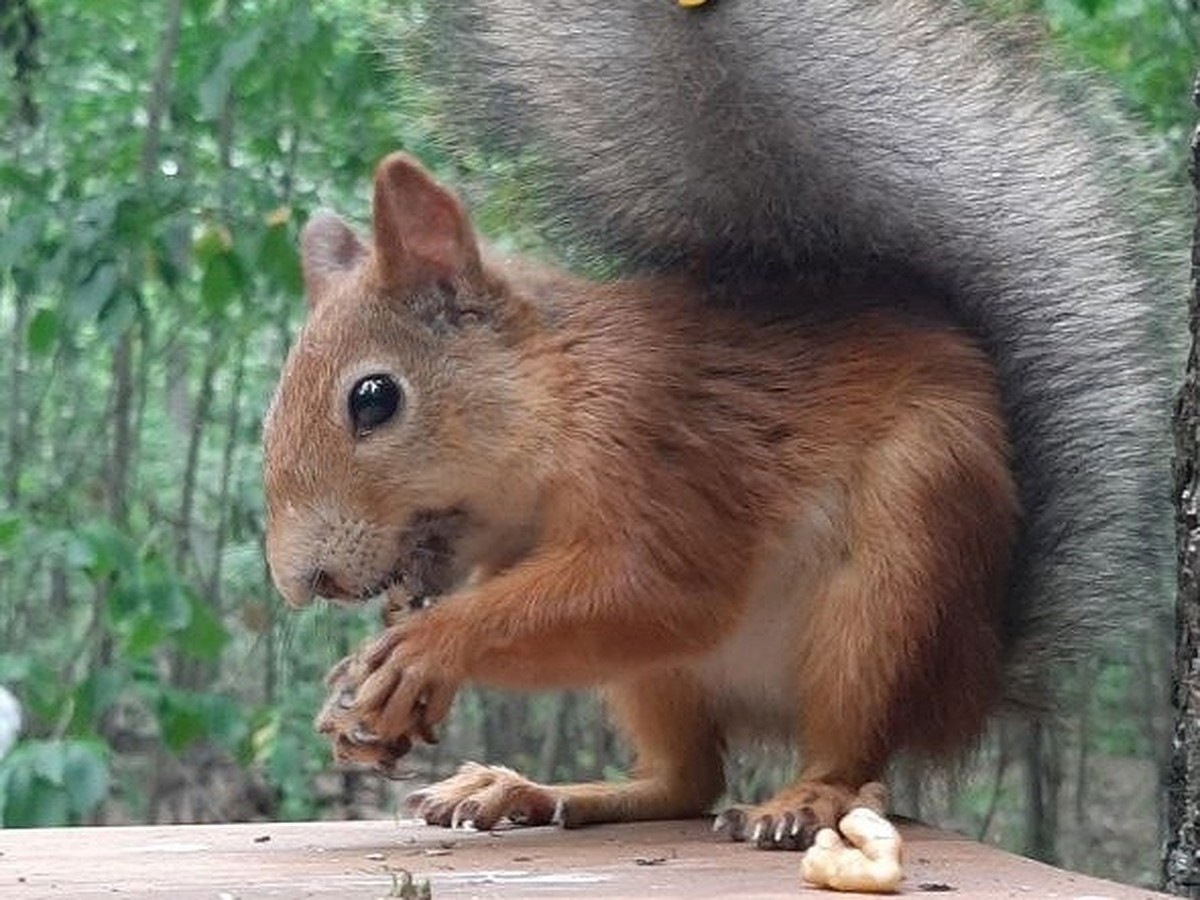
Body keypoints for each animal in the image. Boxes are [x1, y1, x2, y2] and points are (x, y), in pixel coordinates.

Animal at [260, 151, 1012, 849]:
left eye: (374, 398)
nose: (303, 582)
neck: (562, 393)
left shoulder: (653, 436)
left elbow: (657, 587)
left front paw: (423, 647)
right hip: (657, 678)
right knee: (686, 781)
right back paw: (533, 791)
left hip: (899, 561)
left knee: (845, 741)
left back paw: (807, 799)